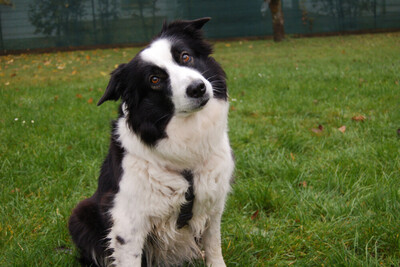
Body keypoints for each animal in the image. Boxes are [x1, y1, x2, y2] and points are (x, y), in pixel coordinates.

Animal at [69, 17, 234, 266]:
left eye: (185, 56)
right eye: (154, 80)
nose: (198, 88)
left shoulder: (213, 203)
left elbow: (214, 247)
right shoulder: (127, 221)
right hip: (80, 215)